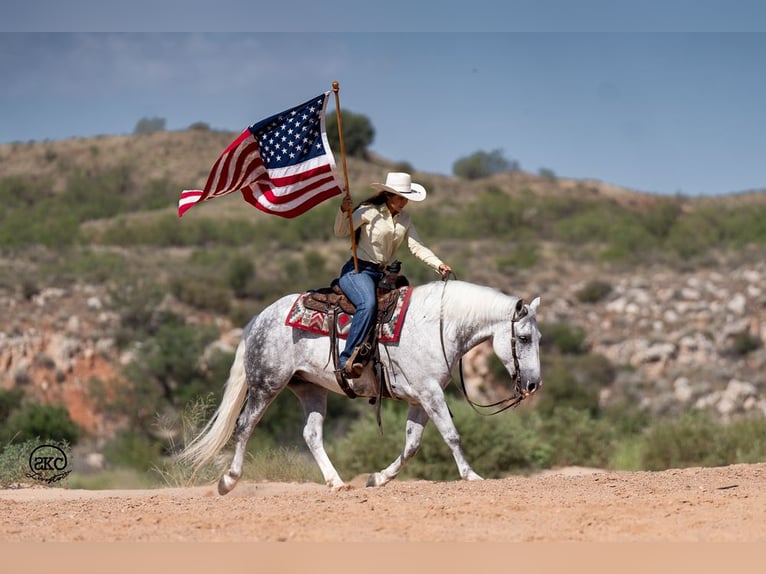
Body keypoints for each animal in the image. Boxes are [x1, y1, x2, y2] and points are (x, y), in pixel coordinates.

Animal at [178, 282, 544, 492]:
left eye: (539, 337)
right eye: (524, 337)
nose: (533, 384)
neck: (438, 325)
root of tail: (258, 319)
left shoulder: (420, 399)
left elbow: (412, 444)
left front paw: (378, 478)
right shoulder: (430, 393)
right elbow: (452, 435)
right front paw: (470, 475)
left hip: (310, 389)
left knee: (311, 434)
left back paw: (337, 483)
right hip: (266, 384)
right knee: (244, 425)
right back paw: (228, 481)